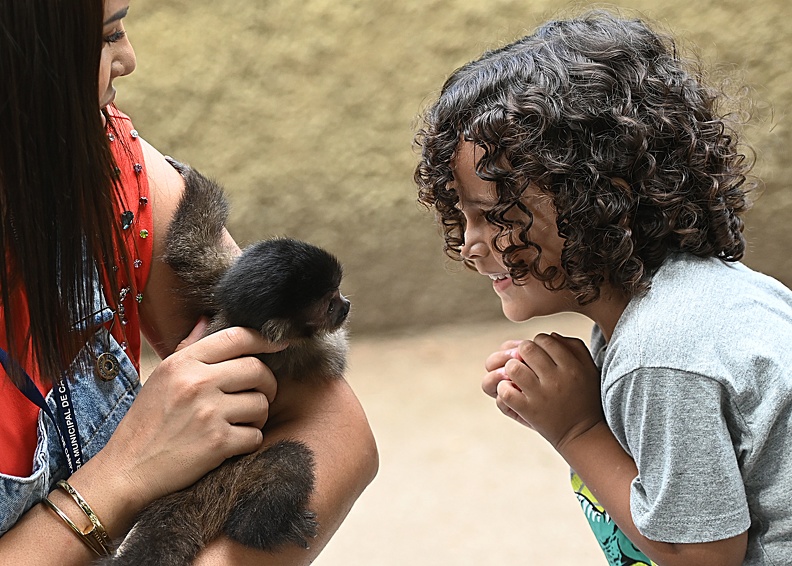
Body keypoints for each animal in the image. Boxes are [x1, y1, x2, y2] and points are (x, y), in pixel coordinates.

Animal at [103, 161, 352, 566]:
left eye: (338, 293)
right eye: (329, 304)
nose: (346, 305)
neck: (242, 319)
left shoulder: (223, 278)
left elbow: (187, 252)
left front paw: (192, 181)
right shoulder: (292, 348)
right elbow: (332, 360)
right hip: (224, 488)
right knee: (289, 461)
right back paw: (260, 529)